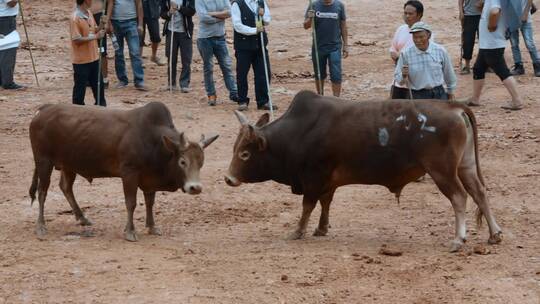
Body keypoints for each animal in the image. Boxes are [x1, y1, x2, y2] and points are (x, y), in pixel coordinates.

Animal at [29, 102, 217, 242]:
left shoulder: (149, 179)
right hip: (43, 161)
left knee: (66, 187)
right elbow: (131, 203)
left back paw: (82, 218)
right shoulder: (129, 173)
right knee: (42, 192)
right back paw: (40, 226)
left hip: (69, 164)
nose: (195, 188)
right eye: (182, 161)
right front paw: (130, 231)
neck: (155, 142)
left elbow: (150, 203)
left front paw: (152, 227)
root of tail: (43, 110)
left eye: (201, 162)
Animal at [226, 90, 504, 252]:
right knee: (479, 192)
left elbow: (308, 206)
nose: (229, 178)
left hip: (442, 171)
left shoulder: (313, 179)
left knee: (459, 197)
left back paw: (459, 239)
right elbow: (325, 204)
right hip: (465, 166)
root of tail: (453, 107)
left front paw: (298, 231)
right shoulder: (328, 182)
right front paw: (321, 228)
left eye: (245, 154)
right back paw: (494, 234)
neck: (298, 131)